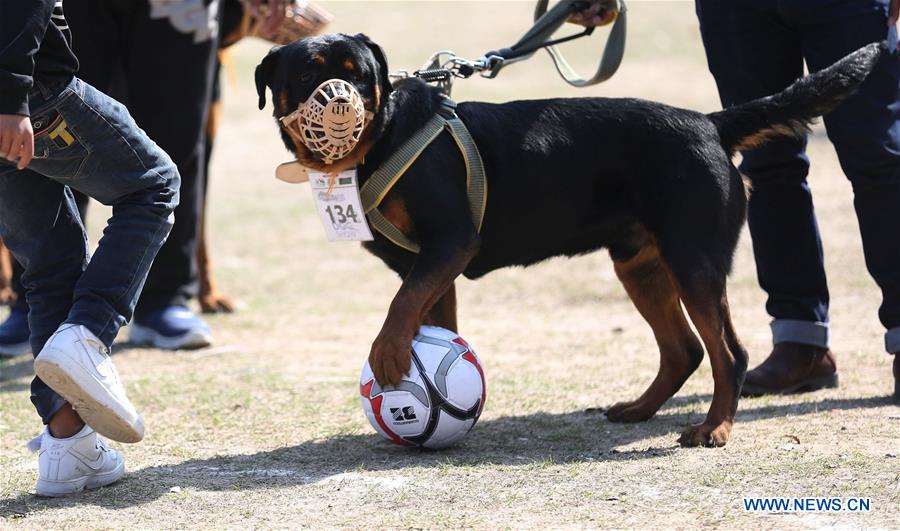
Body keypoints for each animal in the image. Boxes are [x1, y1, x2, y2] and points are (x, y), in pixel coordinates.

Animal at [255, 33, 884, 446]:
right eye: (309, 74)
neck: (380, 141)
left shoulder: (450, 243)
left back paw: (715, 428)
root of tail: (711, 123)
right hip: (642, 265)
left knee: (727, 353)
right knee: (686, 349)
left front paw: (387, 355)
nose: (341, 97)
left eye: (361, 74)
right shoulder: (434, 267)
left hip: (693, 259)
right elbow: (427, 317)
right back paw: (640, 409)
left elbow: (399, 307)